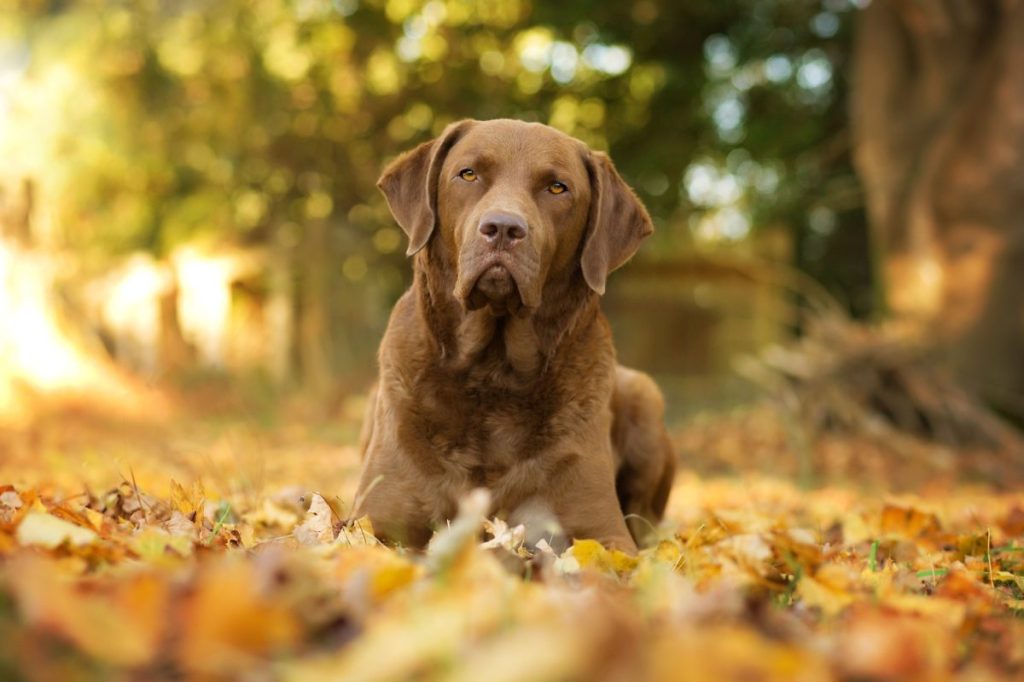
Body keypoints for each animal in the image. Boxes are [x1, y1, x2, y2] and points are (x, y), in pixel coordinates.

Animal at [356, 118, 675, 552]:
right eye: (468, 174)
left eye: (557, 187)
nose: (503, 228)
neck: (493, 372)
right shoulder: (375, 520)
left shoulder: (603, 531)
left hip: (645, 394)